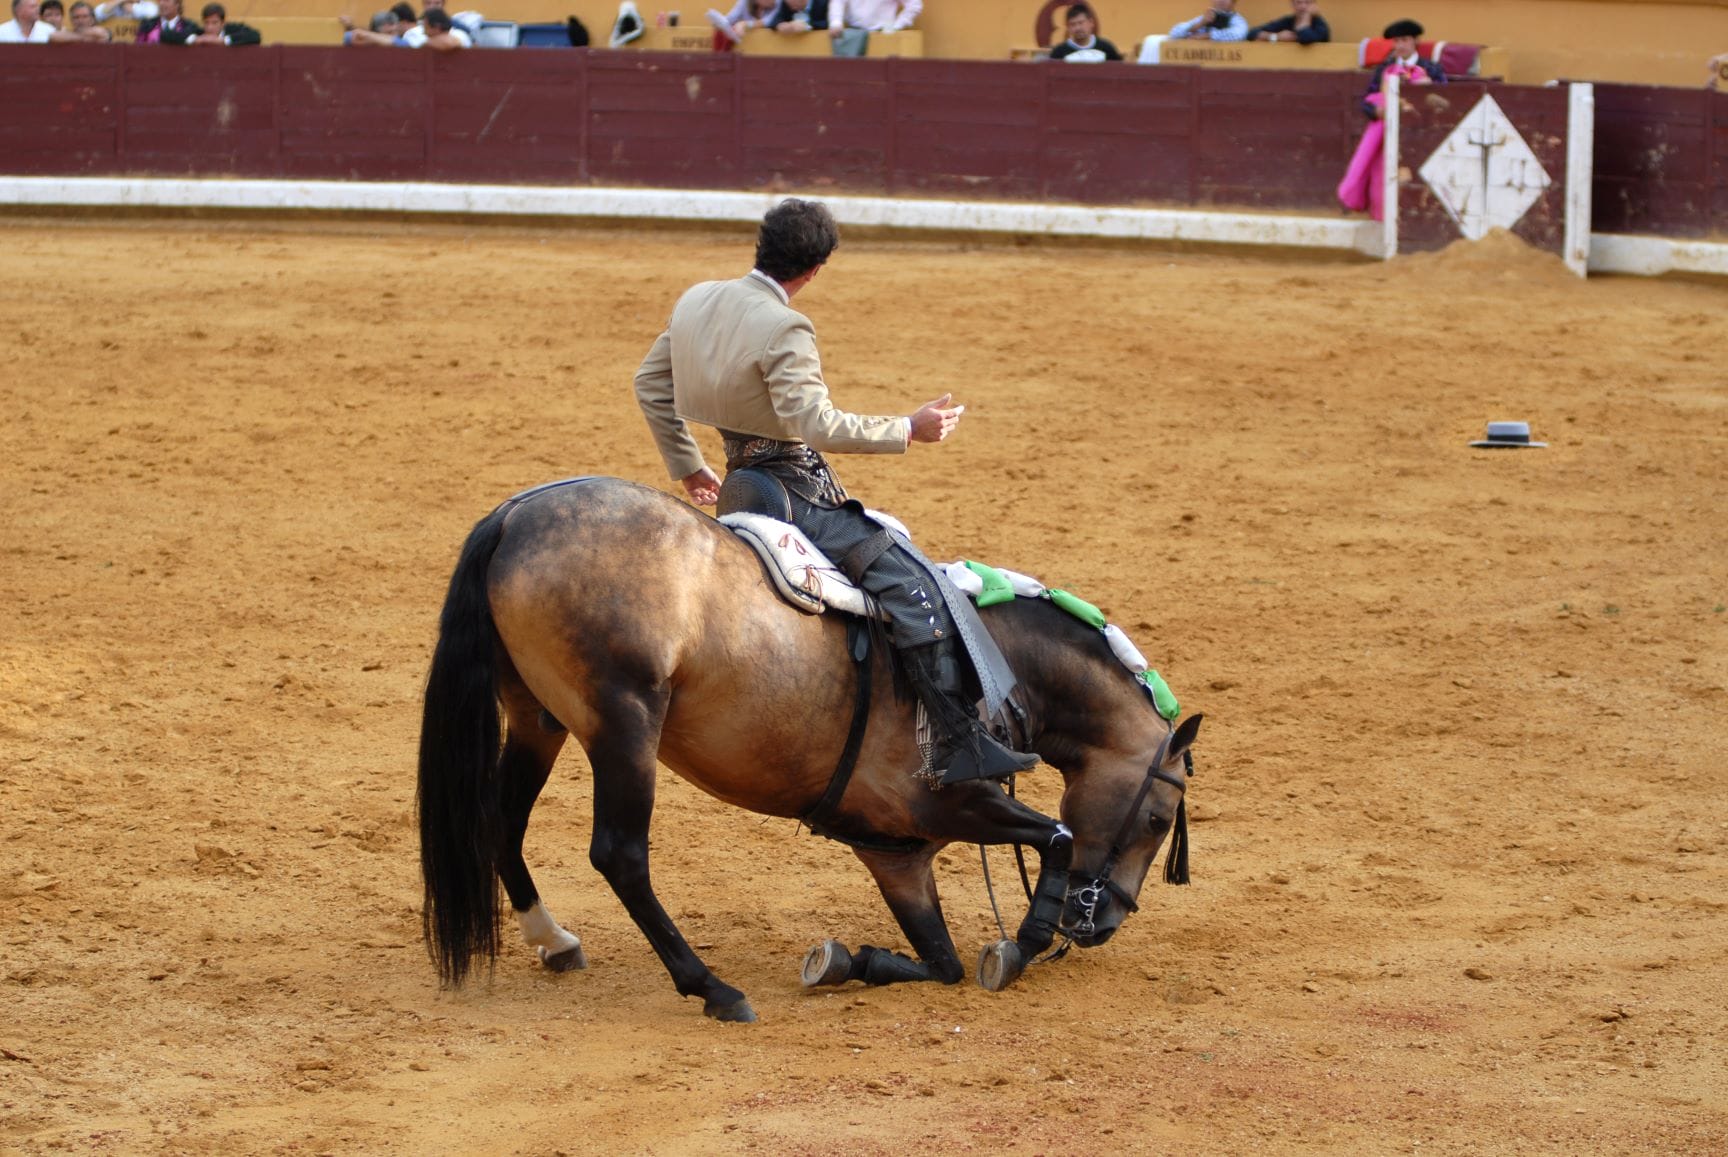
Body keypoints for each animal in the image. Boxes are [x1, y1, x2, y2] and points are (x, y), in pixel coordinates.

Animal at [418, 476, 1202, 1022]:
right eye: (1158, 819)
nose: (1100, 924)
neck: (995, 658)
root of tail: (515, 515)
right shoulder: (946, 803)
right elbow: (1060, 835)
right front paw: (1028, 937)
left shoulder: (897, 854)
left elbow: (941, 960)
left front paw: (847, 961)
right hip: (624, 725)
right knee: (620, 854)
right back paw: (712, 988)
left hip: (538, 719)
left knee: (502, 822)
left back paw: (555, 939)